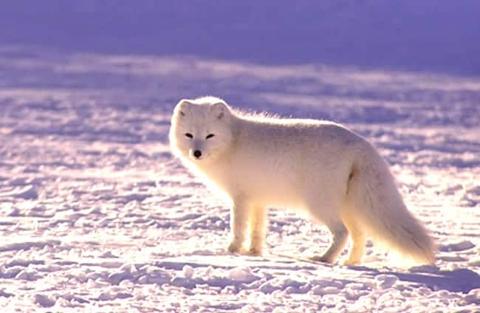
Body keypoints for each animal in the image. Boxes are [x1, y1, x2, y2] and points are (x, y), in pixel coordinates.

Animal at [169, 96, 436, 264]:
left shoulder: (241, 198)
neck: (233, 141)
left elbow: (238, 227)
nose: (197, 153)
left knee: (342, 233)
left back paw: (325, 259)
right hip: (349, 206)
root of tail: (361, 144)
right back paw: (350, 263)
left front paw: (232, 251)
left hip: (319, 205)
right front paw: (254, 252)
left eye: (210, 136)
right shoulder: (258, 200)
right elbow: (257, 229)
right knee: (359, 235)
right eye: (189, 135)